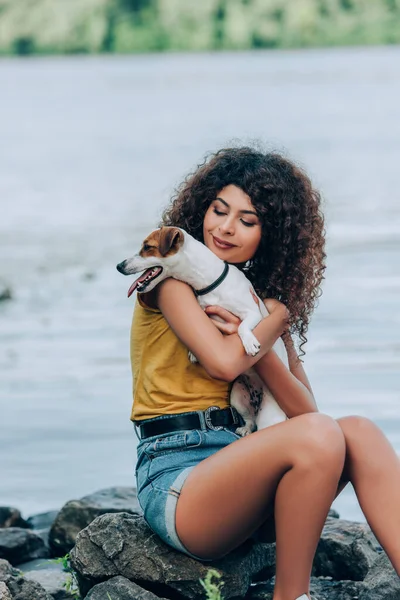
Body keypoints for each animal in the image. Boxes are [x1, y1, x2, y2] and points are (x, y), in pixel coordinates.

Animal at [115, 227, 288, 434]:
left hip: (269, 416)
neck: (209, 283)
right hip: (237, 397)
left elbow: (242, 326)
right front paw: (193, 353)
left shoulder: (253, 313)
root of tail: (257, 396)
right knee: (249, 419)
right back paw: (245, 429)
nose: (119, 266)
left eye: (147, 247)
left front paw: (249, 343)